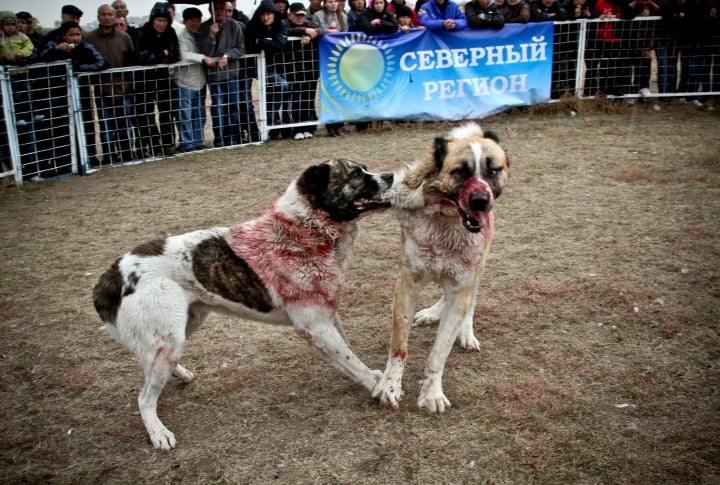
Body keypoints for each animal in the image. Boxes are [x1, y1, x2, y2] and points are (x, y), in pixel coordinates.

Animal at [95, 160, 394, 450]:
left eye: (365, 168)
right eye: (355, 175)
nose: (391, 175)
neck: (304, 230)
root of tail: (113, 274)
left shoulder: (327, 314)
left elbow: (350, 353)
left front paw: (373, 378)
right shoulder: (316, 326)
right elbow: (352, 361)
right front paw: (381, 389)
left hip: (183, 327)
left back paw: (179, 374)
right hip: (170, 336)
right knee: (144, 398)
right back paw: (159, 433)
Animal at [374, 122, 510, 412]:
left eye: (493, 170)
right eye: (459, 172)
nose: (481, 200)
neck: (445, 222)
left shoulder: (462, 284)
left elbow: (439, 352)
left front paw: (431, 393)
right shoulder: (407, 285)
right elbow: (398, 346)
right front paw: (390, 386)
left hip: (477, 271)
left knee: (470, 302)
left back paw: (465, 332)